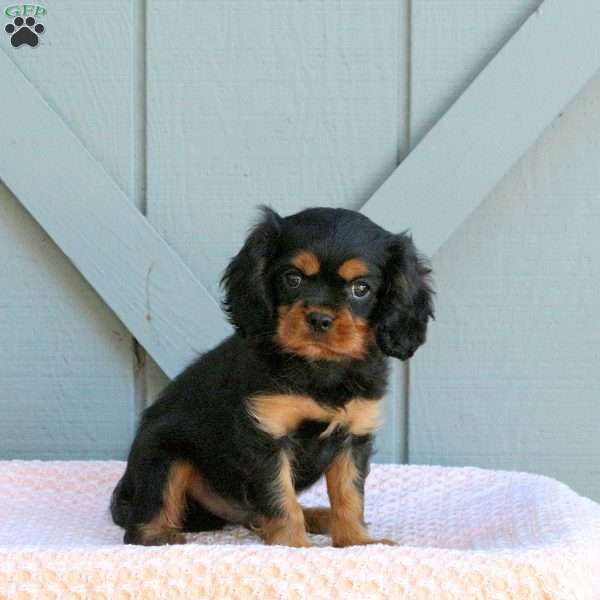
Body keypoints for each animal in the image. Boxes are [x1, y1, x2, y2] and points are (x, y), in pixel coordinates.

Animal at [111, 206, 432, 548]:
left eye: (361, 289)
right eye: (292, 278)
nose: (319, 318)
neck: (319, 368)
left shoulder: (353, 436)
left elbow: (349, 495)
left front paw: (357, 542)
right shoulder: (265, 437)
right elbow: (281, 499)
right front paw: (294, 546)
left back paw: (319, 516)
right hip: (165, 454)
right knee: (143, 521)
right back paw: (160, 535)